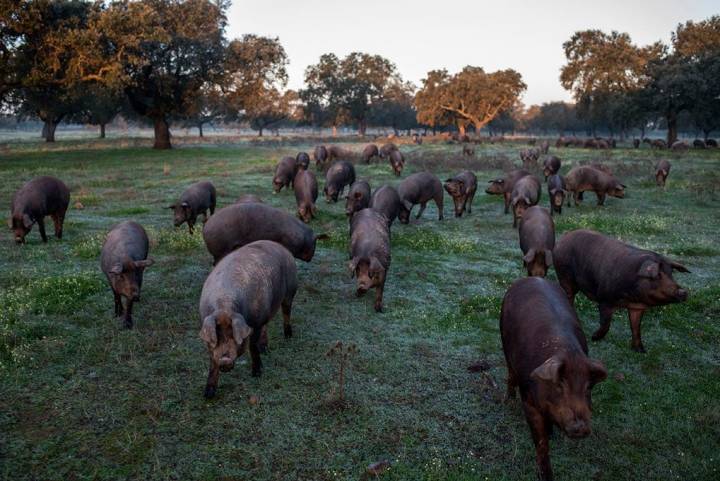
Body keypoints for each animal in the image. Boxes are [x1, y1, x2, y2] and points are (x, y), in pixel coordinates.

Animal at [198, 240, 296, 398]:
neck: (224, 306)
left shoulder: (255, 324)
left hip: (290, 290)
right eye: (217, 336)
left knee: (286, 312)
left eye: (234, 336)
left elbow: (252, 346)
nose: (224, 359)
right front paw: (208, 395)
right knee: (267, 325)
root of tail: (280, 246)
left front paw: (257, 374)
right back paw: (265, 349)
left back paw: (288, 337)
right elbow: (212, 362)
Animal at [500, 274, 608, 480]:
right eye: (560, 384)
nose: (581, 426)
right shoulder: (529, 401)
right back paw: (507, 400)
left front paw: (552, 434)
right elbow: (541, 444)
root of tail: (534, 278)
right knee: (510, 373)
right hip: (504, 342)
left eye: (588, 387)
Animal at [556, 227, 688, 350]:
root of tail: (565, 236)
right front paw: (594, 338)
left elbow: (636, 327)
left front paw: (641, 350)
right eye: (658, 275)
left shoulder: (637, 308)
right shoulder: (605, 299)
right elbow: (606, 324)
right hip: (564, 275)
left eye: (671, 274)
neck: (632, 299)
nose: (684, 292)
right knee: (568, 295)